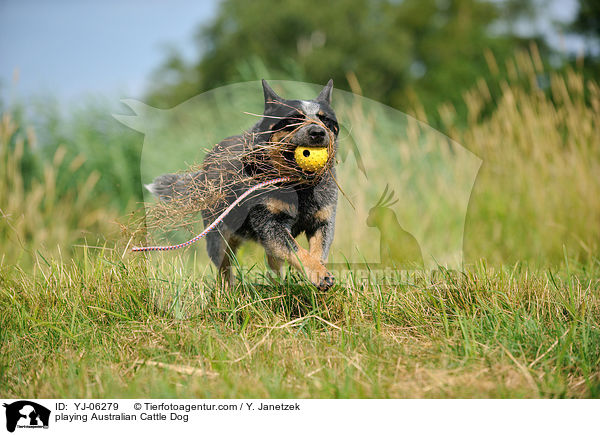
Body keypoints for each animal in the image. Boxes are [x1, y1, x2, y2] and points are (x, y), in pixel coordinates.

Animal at [146, 80, 338, 292]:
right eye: (293, 120)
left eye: (325, 120)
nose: (318, 132)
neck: (300, 189)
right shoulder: (270, 223)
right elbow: (297, 251)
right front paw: (319, 274)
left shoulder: (323, 221)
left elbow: (317, 253)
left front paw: (319, 272)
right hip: (219, 235)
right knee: (224, 267)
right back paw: (226, 292)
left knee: (273, 264)